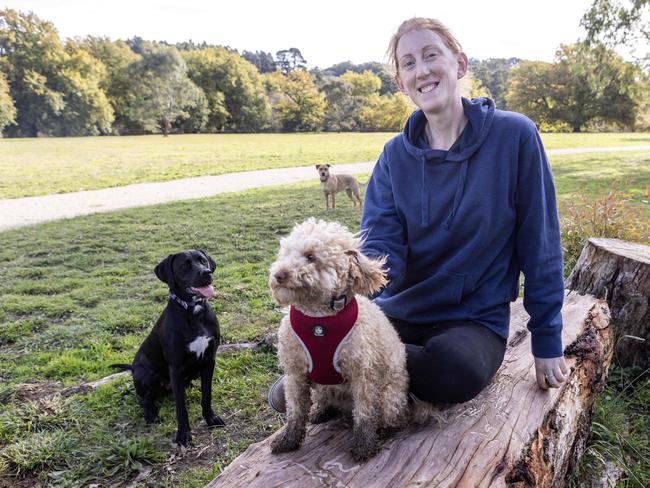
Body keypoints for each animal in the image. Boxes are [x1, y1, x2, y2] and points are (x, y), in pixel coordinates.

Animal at [111, 252, 223, 446]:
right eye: (184, 266)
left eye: (203, 260)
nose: (206, 273)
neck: (194, 312)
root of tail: (133, 367)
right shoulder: (176, 368)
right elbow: (181, 407)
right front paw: (183, 434)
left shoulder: (210, 360)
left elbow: (207, 395)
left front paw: (210, 418)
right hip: (146, 375)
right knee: (144, 399)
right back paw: (151, 414)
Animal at [268, 218, 408, 462]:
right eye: (284, 253)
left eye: (311, 256)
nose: (279, 275)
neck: (318, 321)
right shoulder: (295, 373)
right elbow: (295, 411)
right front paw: (288, 440)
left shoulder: (362, 374)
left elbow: (365, 413)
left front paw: (364, 445)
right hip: (324, 388)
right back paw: (321, 411)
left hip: (390, 396)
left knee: (388, 416)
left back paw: (382, 429)